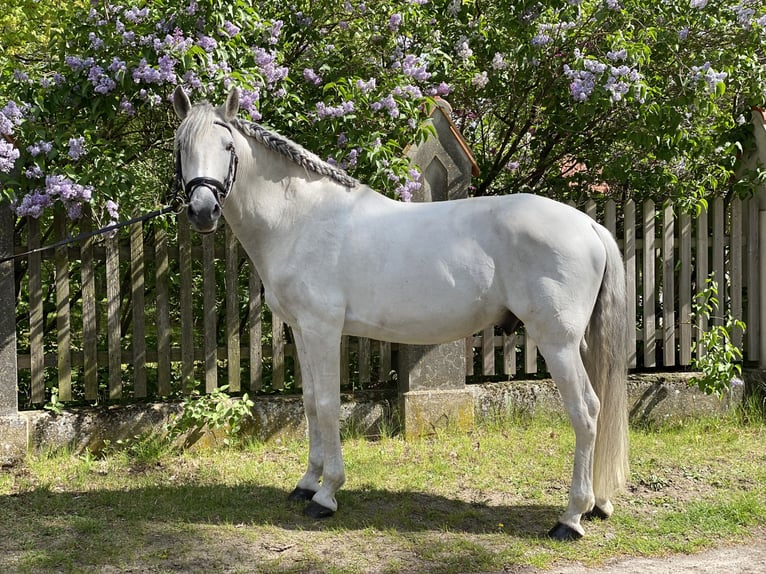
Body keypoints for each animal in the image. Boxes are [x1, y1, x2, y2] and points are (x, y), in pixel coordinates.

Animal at [177, 88, 632, 544]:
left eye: (228, 147)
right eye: (181, 146)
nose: (203, 210)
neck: (301, 219)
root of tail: (589, 225)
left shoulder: (323, 329)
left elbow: (327, 404)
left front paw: (326, 495)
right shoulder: (302, 331)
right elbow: (308, 404)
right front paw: (306, 483)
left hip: (557, 342)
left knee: (586, 411)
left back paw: (570, 518)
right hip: (577, 343)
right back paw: (597, 504)